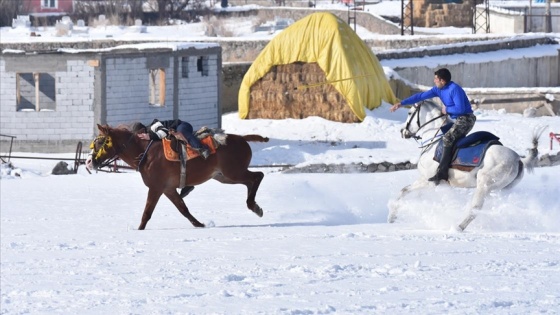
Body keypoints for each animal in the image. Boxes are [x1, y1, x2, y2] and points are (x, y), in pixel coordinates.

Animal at [88, 123, 268, 230]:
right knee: (250, 181)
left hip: (233, 172)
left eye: (99, 142)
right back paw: (255, 206)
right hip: (224, 176)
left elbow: (147, 212)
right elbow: (183, 209)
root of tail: (242, 139)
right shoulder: (168, 189)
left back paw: (253, 206)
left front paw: (139, 229)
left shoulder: (156, 188)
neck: (146, 153)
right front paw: (199, 224)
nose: (89, 162)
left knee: (258, 176)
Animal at [388, 101, 544, 232]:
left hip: (484, 185)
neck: (433, 141)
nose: (403, 132)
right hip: (500, 189)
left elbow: (404, 191)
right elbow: (408, 192)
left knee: (475, 208)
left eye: (409, 113)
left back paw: (458, 227)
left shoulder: (428, 181)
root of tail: (518, 159)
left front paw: (391, 216)